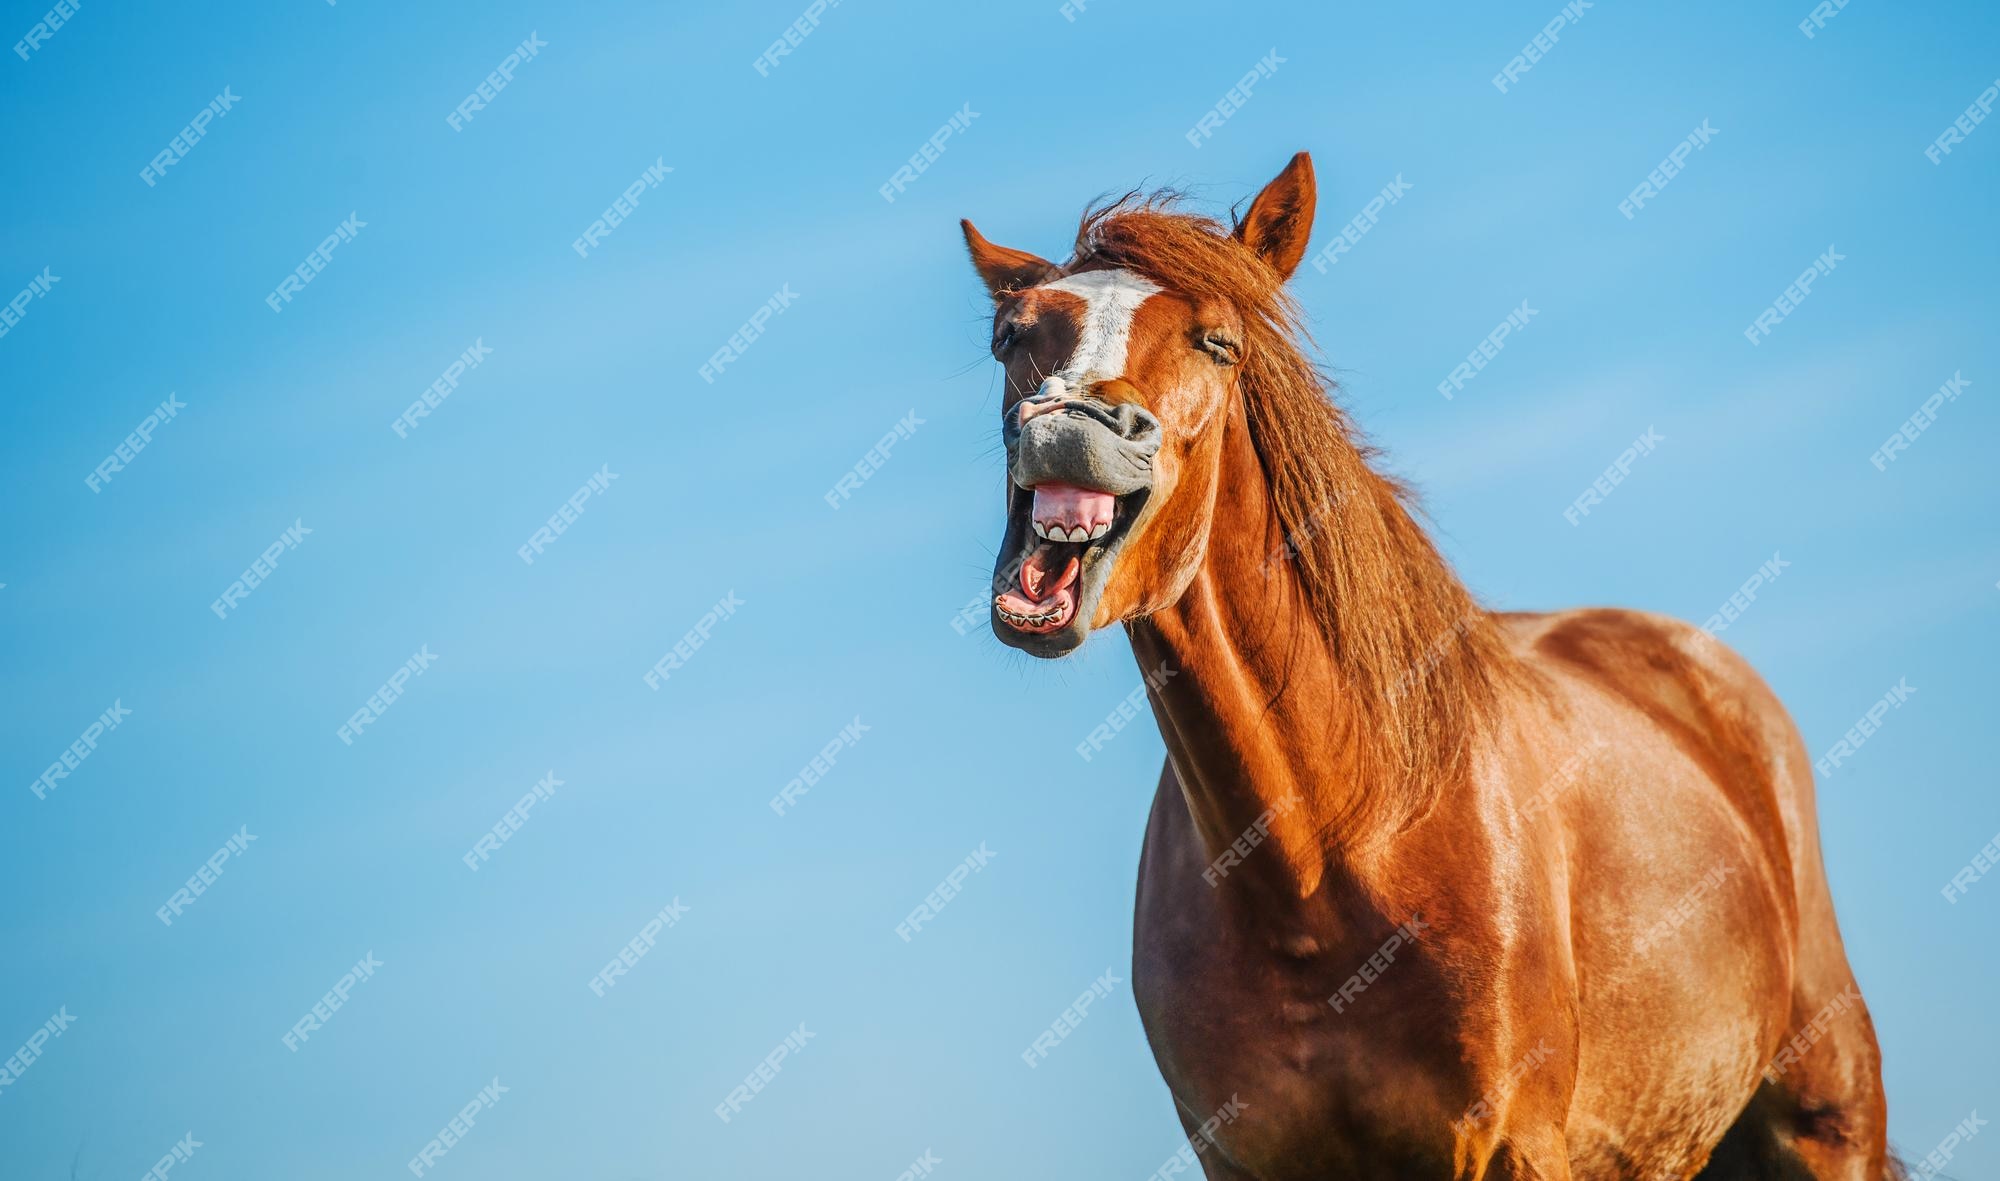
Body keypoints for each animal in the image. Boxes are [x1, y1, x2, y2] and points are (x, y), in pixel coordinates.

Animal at [960, 153, 1896, 1176]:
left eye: (1218, 342)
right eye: (1011, 335)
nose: (1070, 424)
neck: (1324, 856)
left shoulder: (1512, 1143)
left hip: (1827, 1127)